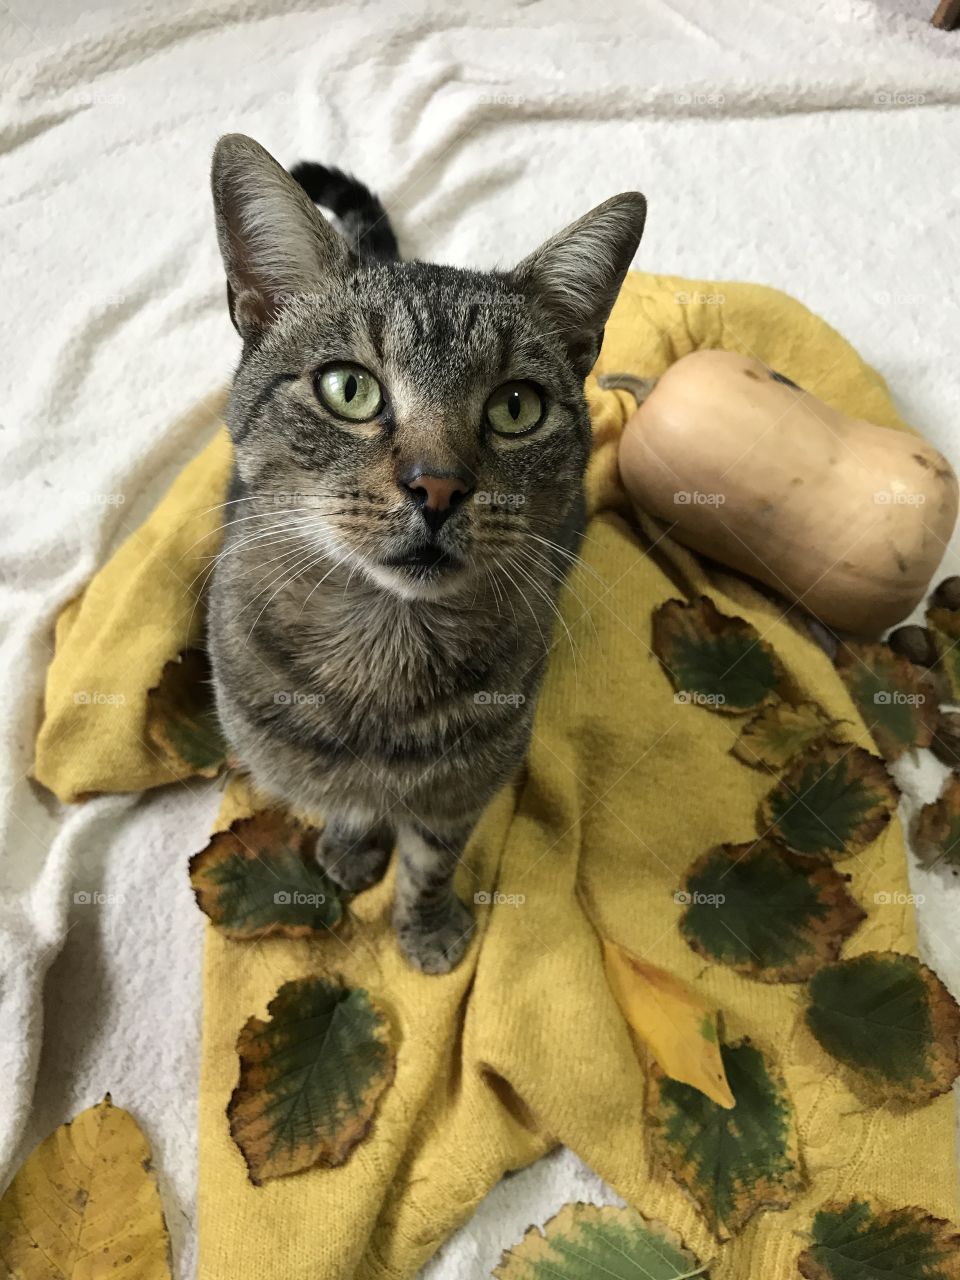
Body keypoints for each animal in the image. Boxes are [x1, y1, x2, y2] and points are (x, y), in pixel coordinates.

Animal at [208, 132, 647, 967]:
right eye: (348, 389)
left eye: (516, 407)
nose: (438, 486)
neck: (386, 646)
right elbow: (345, 802)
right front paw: (353, 846)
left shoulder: (462, 789)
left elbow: (431, 863)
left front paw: (427, 928)